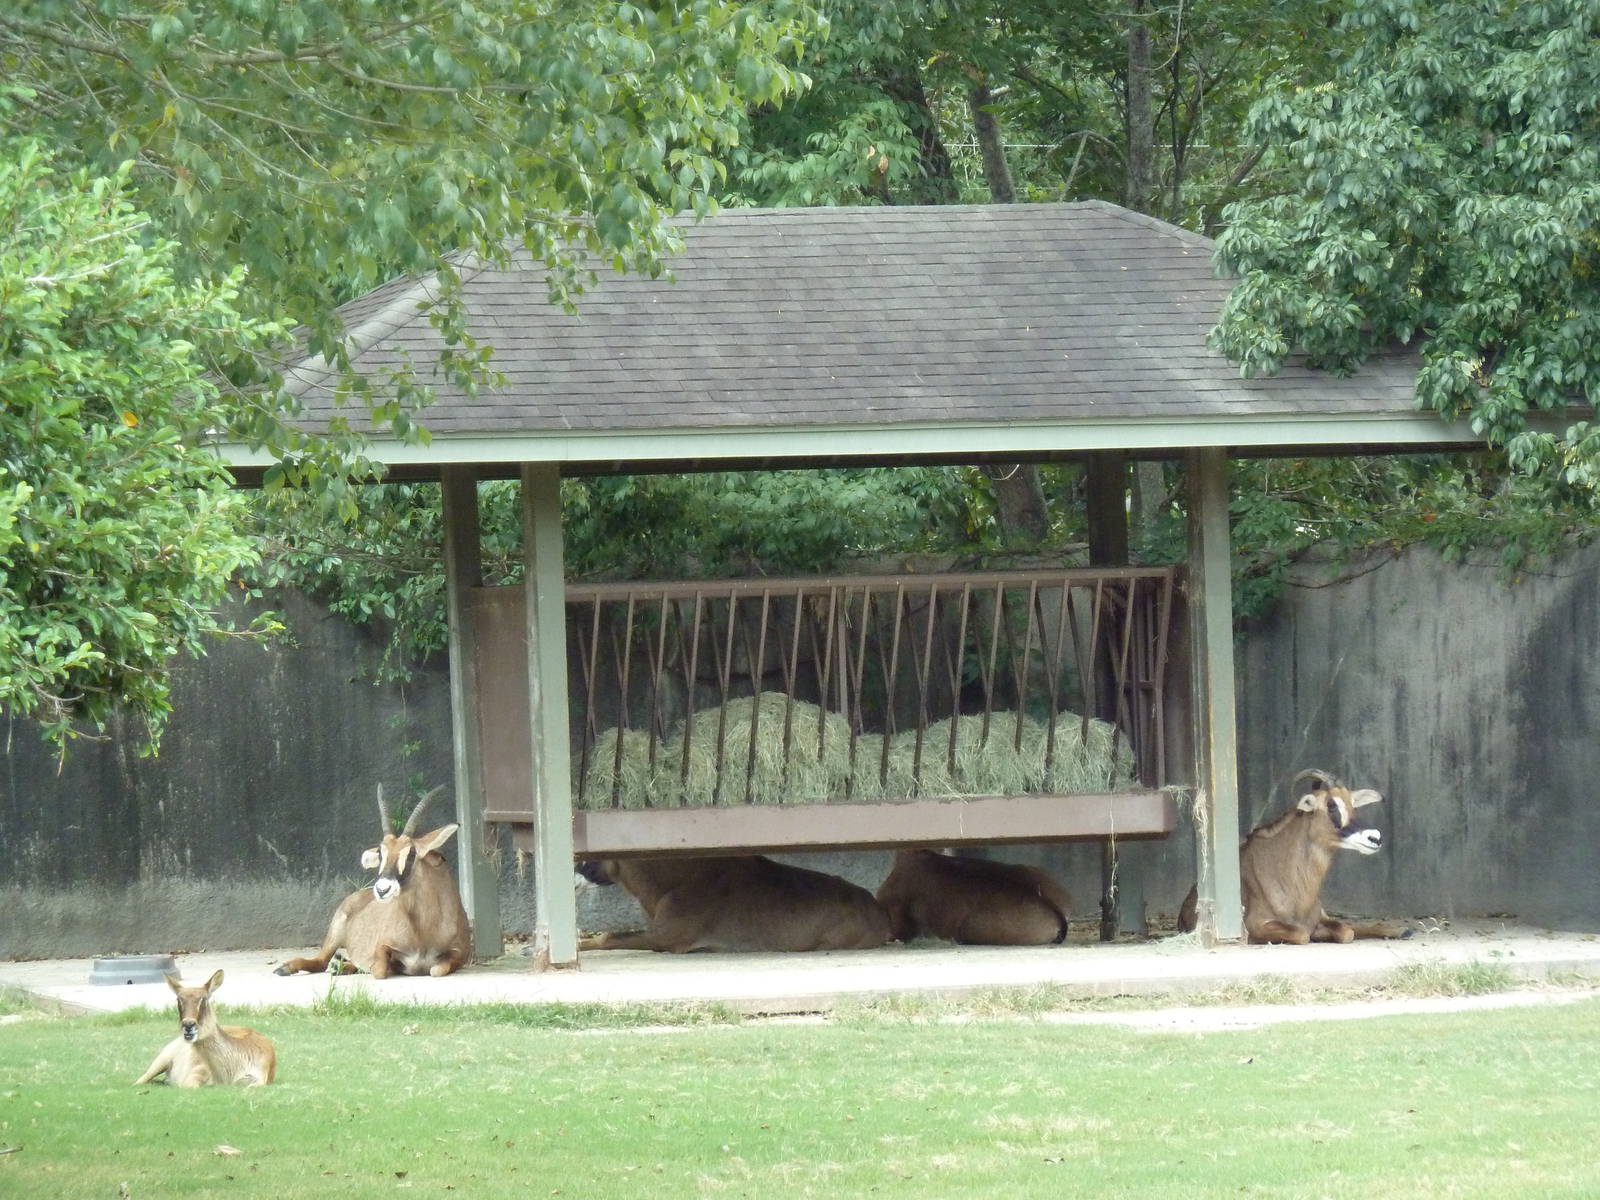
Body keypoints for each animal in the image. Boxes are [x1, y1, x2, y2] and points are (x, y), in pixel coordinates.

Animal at [275, 785, 471, 978]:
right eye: (380, 853)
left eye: (411, 853)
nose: (382, 889)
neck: (422, 930)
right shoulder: (382, 946)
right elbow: (379, 969)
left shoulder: (459, 954)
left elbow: (436, 970)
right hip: (335, 932)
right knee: (321, 962)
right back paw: (288, 968)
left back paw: (341, 966)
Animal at [1178, 768, 1405, 944]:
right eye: (1331, 805)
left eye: (1352, 805)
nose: (1374, 837)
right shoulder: (1258, 924)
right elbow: (1302, 934)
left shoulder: (1319, 920)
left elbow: (1347, 931)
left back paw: (1401, 930)